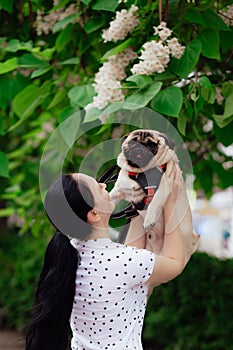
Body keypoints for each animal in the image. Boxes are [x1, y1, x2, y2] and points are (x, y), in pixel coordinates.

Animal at [110, 130, 199, 264]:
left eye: (151, 146)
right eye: (131, 143)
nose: (139, 148)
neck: (140, 173)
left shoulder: (164, 187)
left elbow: (154, 203)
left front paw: (149, 221)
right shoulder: (119, 189)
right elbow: (107, 197)